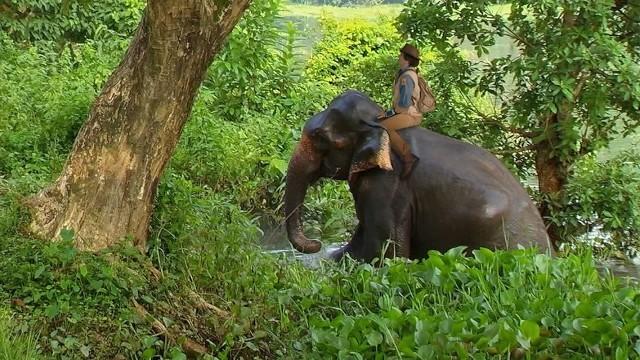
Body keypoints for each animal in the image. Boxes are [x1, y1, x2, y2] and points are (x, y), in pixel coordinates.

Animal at [282, 88, 552, 260]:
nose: (316, 244)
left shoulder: (388, 186)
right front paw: (335, 257)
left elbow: (386, 252)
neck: (384, 122)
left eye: (319, 137)